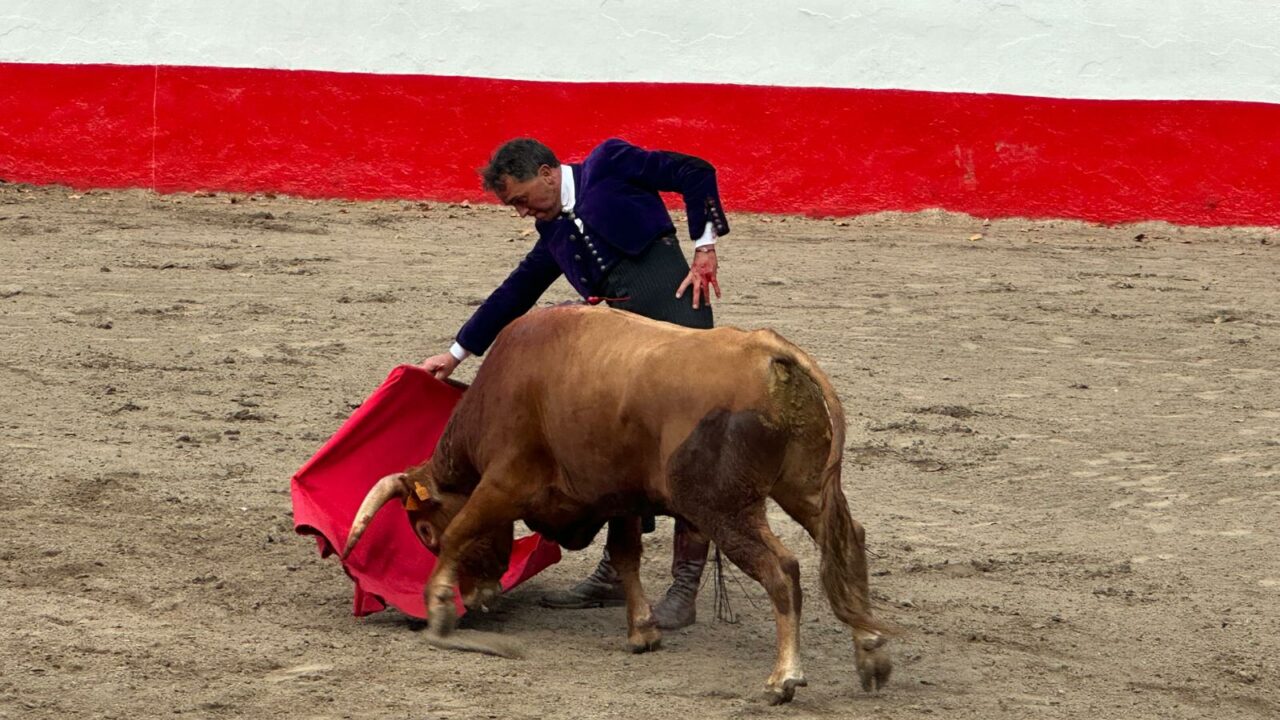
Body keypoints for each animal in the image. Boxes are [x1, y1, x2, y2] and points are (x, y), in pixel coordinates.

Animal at [345, 303, 896, 702]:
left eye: (422, 530)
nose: (480, 596)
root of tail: (767, 350)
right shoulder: (622, 501)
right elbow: (627, 558)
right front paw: (643, 632)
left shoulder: (505, 483)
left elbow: (462, 532)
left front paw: (439, 610)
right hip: (804, 487)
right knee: (847, 543)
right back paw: (871, 653)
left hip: (723, 508)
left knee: (782, 569)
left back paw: (784, 678)